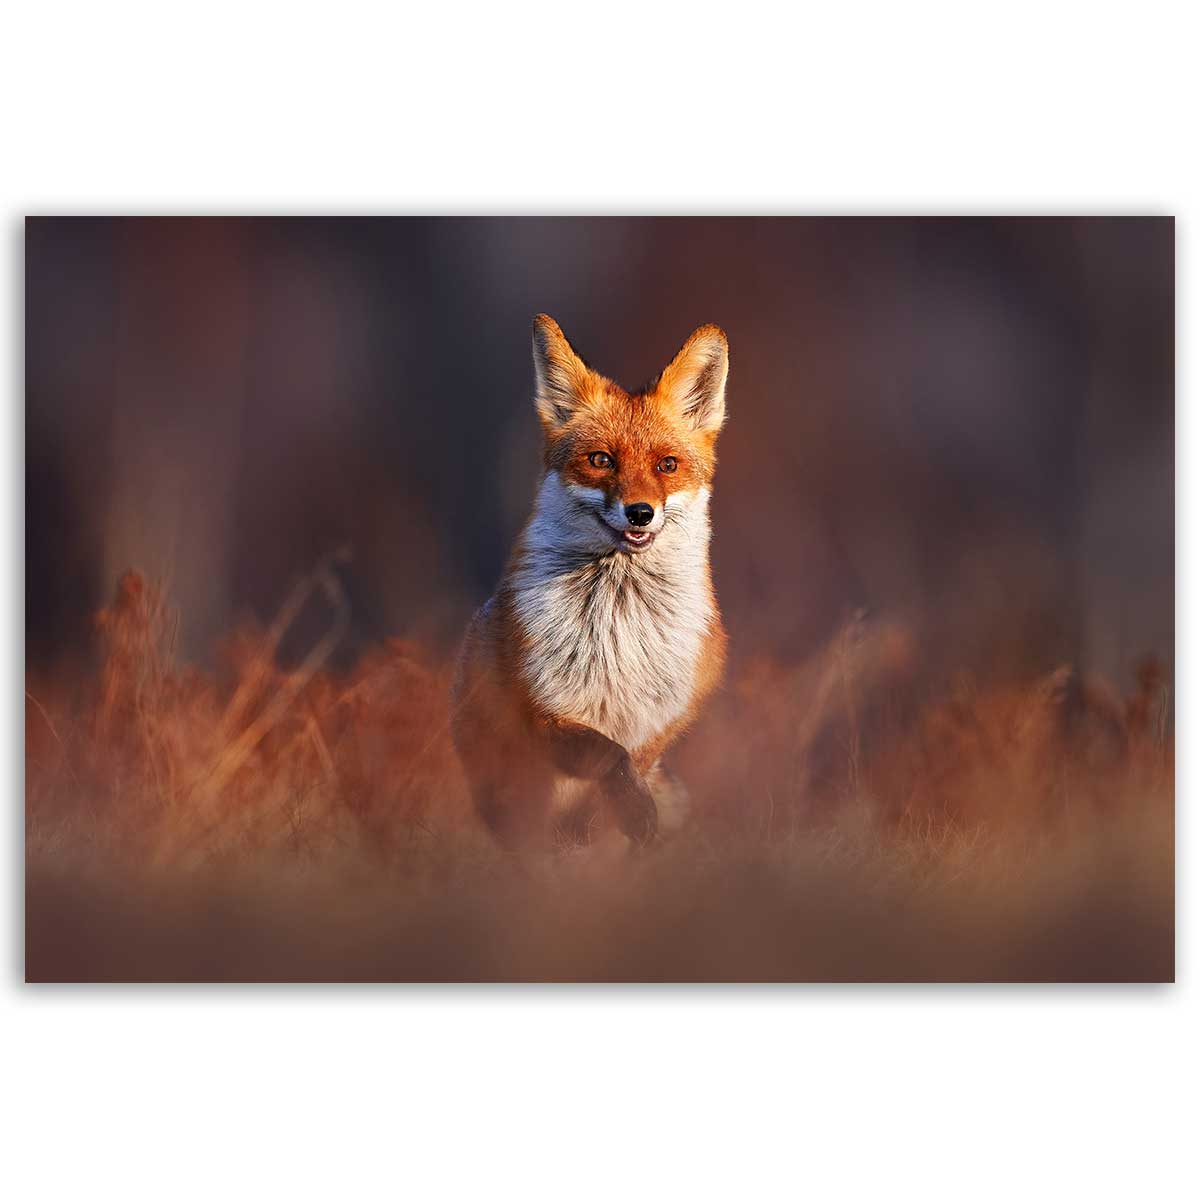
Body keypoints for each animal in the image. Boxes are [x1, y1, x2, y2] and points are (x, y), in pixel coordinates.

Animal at [451, 314, 729, 847]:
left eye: (667, 465)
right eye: (601, 460)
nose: (640, 512)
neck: (619, 632)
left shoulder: (660, 725)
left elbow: (621, 779)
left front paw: (618, 825)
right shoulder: (542, 712)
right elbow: (605, 756)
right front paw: (632, 813)